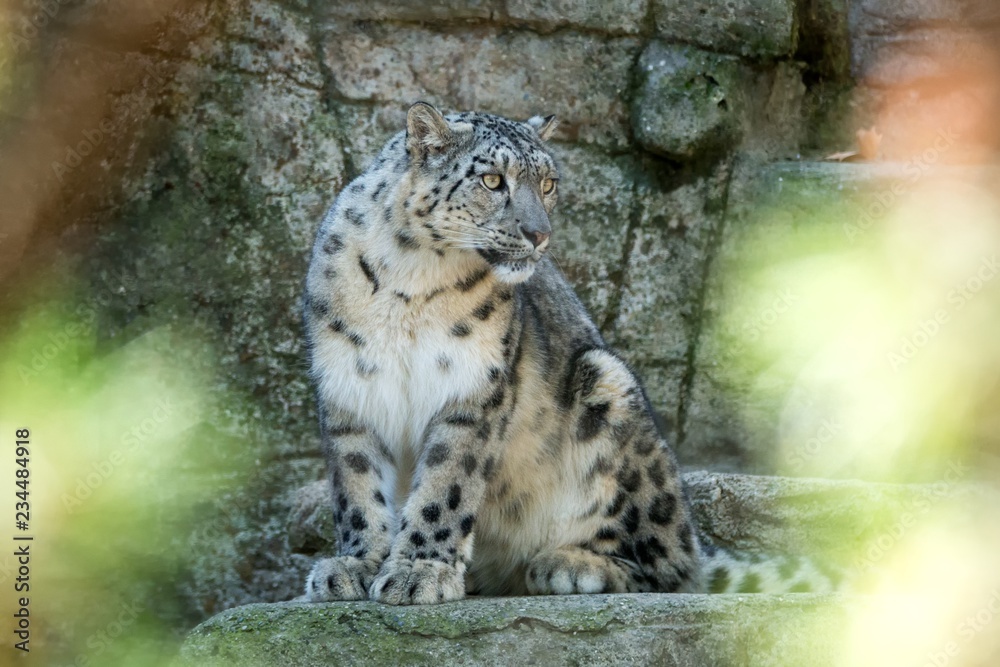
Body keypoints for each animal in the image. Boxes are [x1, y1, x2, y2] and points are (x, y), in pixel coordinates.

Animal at [301, 102, 835, 604]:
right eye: (492, 180)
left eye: (548, 183)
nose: (540, 234)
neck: (411, 280)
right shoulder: (348, 385)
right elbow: (357, 485)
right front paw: (356, 566)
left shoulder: (472, 387)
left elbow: (445, 484)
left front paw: (420, 572)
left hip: (609, 389)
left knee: (673, 570)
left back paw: (570, 564)